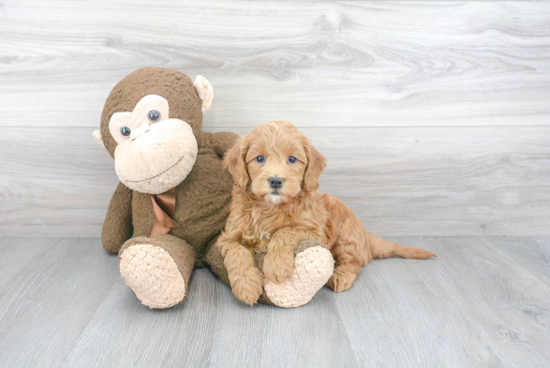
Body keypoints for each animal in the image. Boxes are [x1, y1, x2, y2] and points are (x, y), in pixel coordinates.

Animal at [218, 121, 438, 304]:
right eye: (260, 158)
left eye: (292, 159)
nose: (275, 181)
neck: (270, 208)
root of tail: (365, 235)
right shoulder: (228, 236)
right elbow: (236, 253)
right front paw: (246, 286)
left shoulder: (314, 230)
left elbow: (285, 231)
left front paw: (276, 264)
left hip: (346, 236)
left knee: (355, 262)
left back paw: (341, 276)